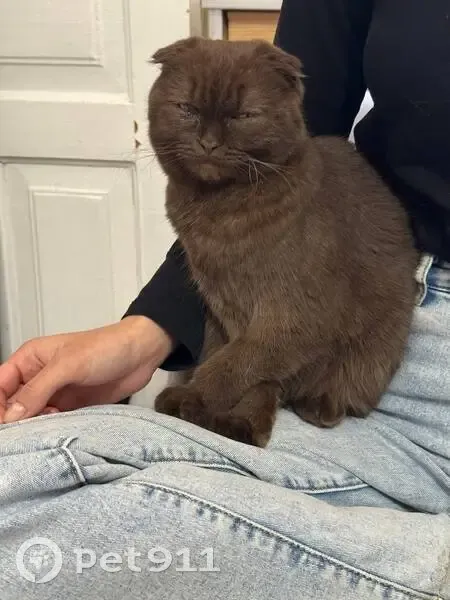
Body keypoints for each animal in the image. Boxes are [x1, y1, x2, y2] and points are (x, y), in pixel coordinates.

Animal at [150, 37, 418, 447]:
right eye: (187, 109)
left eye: (243, 115)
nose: (208, 143)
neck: (219, 216)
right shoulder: (221, 309)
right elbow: (225, 356)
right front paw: (225, 417)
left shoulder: (294, 314)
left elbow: (236, 363)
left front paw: (195, 400)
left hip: (377, 346)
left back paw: (318, 406)